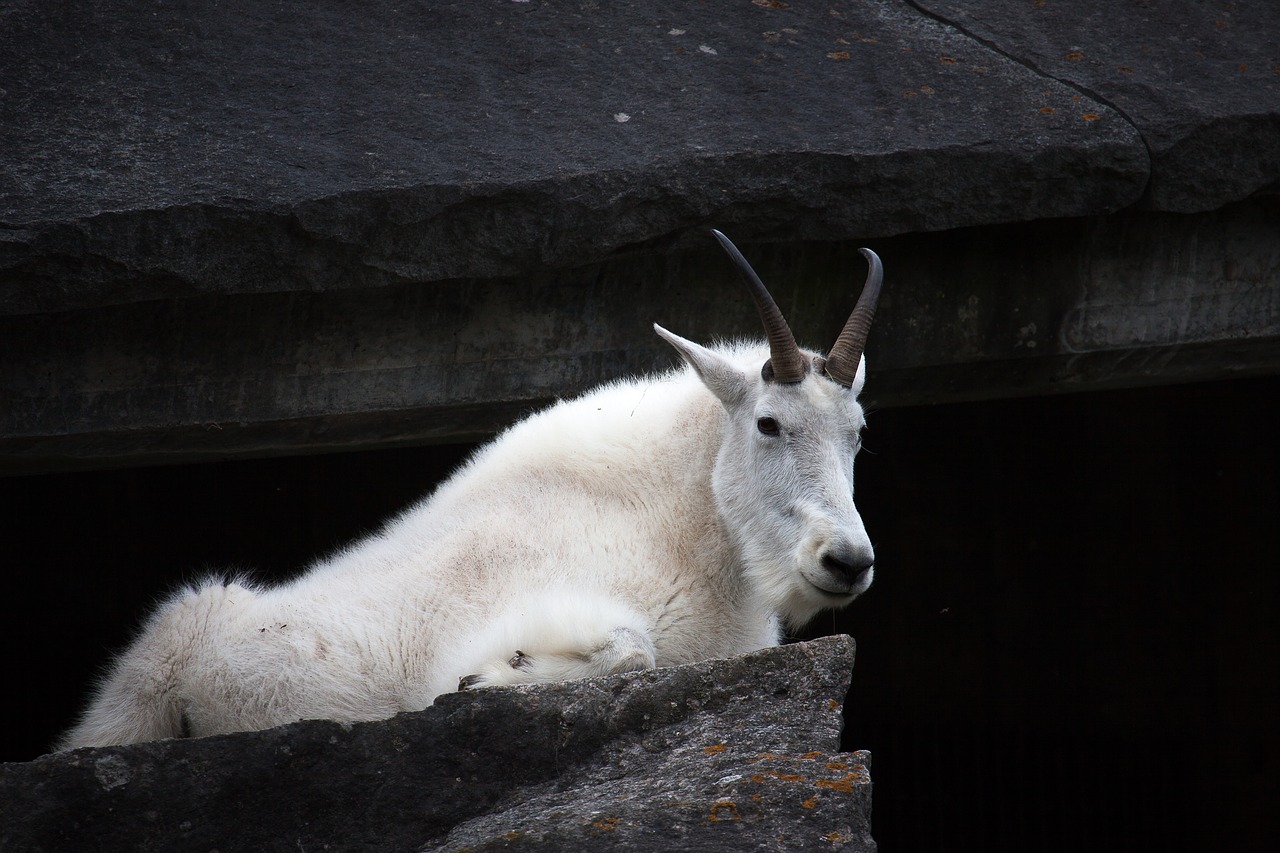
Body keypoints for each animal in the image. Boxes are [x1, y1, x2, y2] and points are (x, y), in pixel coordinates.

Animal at [57, 229, 880, 747]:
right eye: (769, 423)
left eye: (858, 433)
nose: (846, 561)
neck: (689, 536)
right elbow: (630, 649)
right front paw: (491, 678)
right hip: (145, 682)